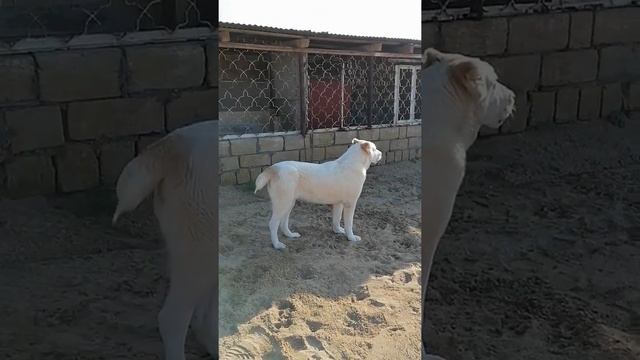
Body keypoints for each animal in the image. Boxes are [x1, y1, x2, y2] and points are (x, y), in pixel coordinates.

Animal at [252, 136, 382, 249]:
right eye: (374, 149)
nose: (381, 154)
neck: (353, 164)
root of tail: (274, 168)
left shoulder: (338, 203)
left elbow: (337, 219)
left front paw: (338, 231)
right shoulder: (350, 204)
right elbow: (349, 223)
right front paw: (351, 237)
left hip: (289, 203)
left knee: (283, 222)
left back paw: (290, 235)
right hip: (282, 203)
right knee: (273, 224)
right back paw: (277, 245)